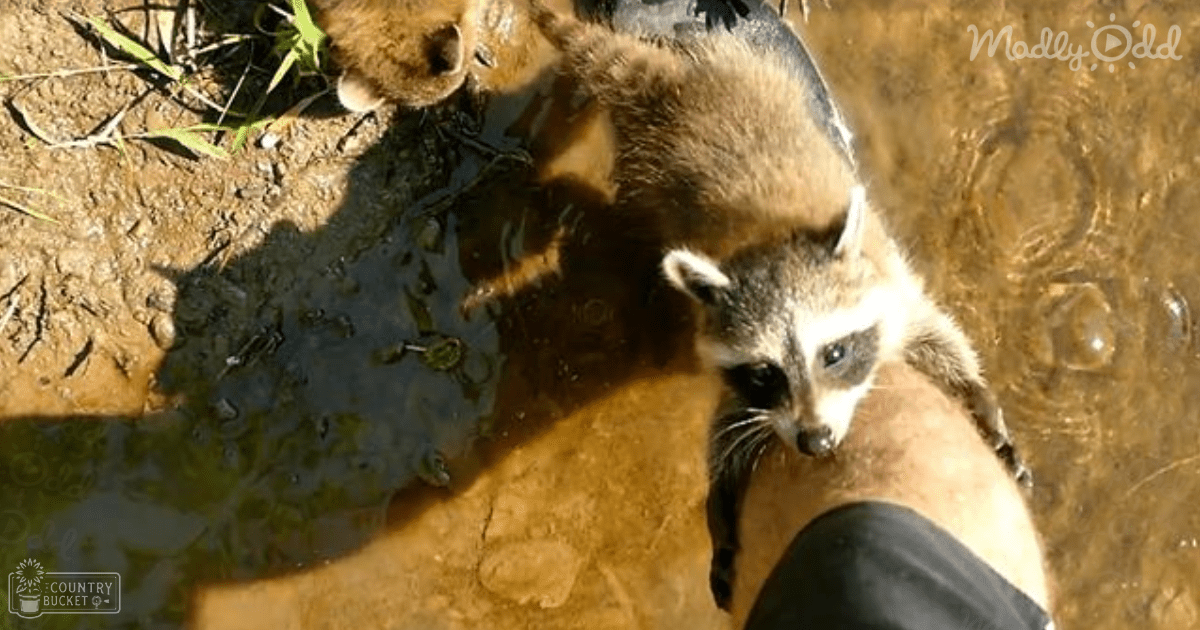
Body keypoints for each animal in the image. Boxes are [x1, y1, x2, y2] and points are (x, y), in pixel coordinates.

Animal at [526, 3, 1031, 610]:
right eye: (765, 372)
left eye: (834, 353)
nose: (815, 441)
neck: (771, 239)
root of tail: (680, 81)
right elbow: (729, 428)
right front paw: (720, 501)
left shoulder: (889, 284)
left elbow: (938, 336)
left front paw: (977, 396)